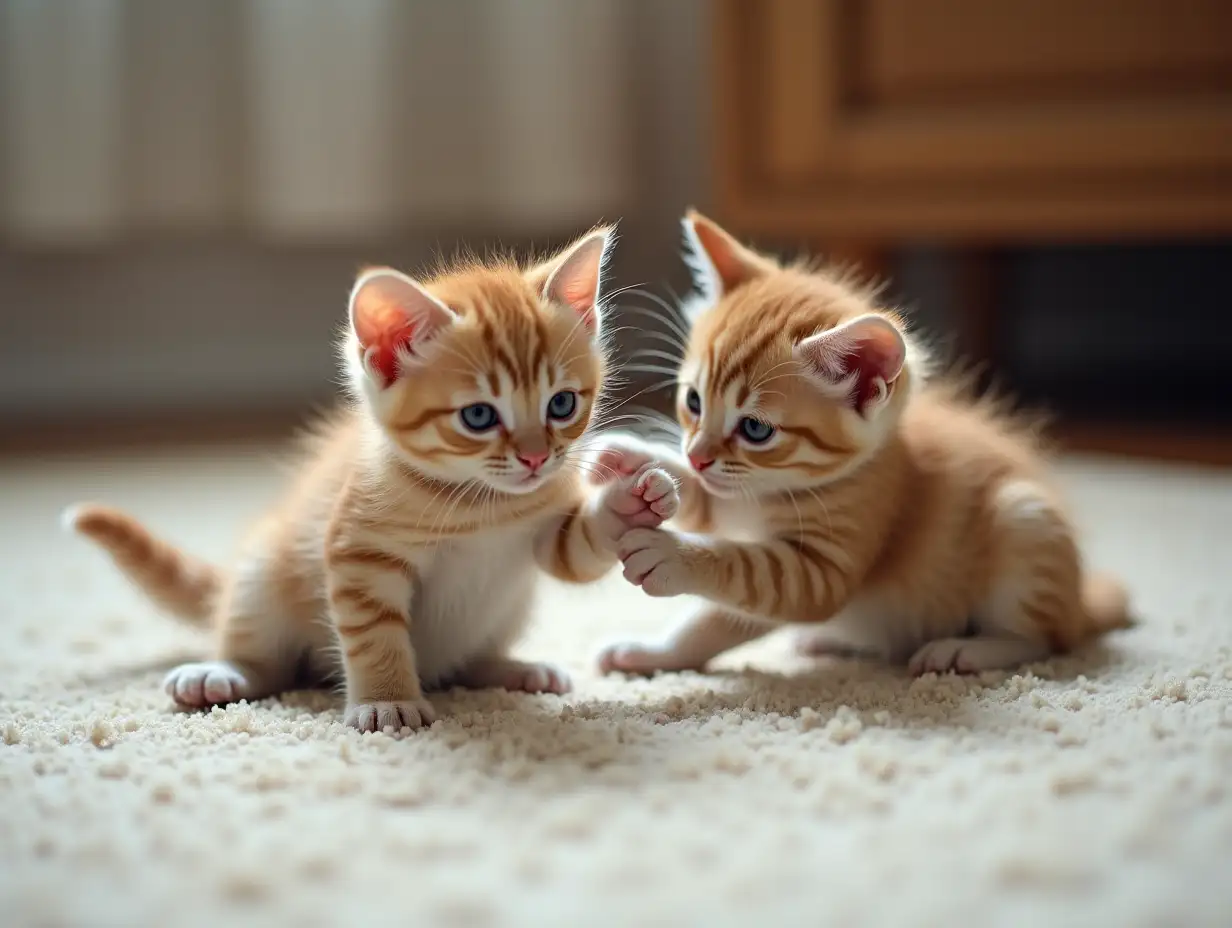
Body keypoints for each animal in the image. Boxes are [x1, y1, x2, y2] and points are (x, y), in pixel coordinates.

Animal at [64, 226, 684, 729]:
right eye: (478, 417)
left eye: (561, 405)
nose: (535, 459)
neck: (480, 504)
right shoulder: (359, 552)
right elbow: (374, 633)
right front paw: (387, 701)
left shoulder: (541, 527)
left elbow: (573, 552)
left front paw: (630, 501)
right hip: (263, 576)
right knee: (266, 658)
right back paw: (224, 673)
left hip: (510, 606)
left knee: (468, 661)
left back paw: (510, 668)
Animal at [591, 211, 1128, 675]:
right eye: (694, 401)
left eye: (756, 430)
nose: (696, 456)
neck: (776, 488)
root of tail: (1081, 603)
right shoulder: (734, 496)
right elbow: (715, 613)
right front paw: (636, 465)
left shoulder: (828, 561)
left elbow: (746, 571)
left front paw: (672, 555)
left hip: (1025, 521)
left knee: (1043, 640)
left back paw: (968, 650)